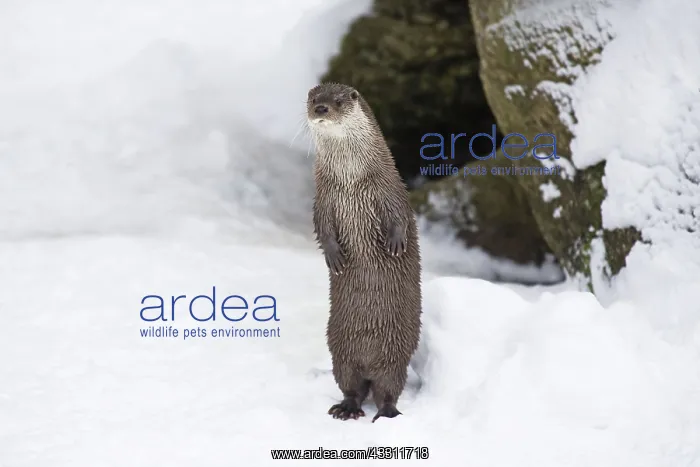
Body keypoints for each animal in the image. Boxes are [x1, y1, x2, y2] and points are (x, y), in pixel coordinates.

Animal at [306, 82, 422, 423]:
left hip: (396, 353)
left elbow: (399, 214)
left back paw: (388, 414)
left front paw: (395, 244)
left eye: (338, 100)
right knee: (351, 386)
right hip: (340, 350)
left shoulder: (390, 187)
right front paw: (334, 257)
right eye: (312, 99)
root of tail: (369, 362)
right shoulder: (323, 197)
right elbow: (322, 227)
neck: (351, 180)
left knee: (388, 389)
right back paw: (345, 408)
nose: (320, 109)